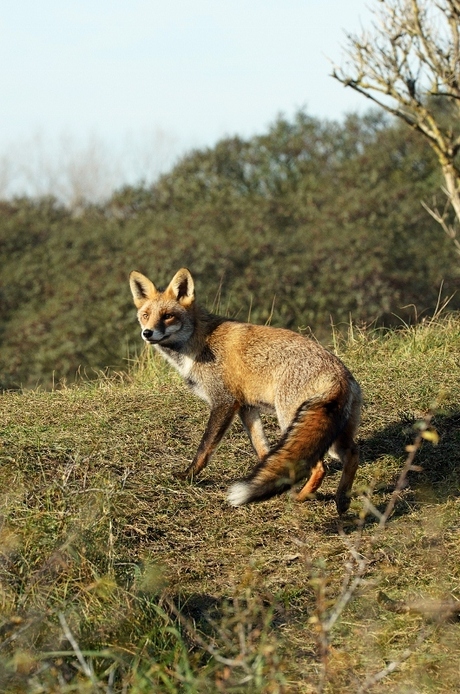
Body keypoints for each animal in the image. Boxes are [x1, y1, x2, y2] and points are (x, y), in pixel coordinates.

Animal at [129, 270, 362, 512]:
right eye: (145, 315)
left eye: (167, 316)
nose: (147, 333)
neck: (201, 342)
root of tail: (339, 376)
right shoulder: (247, 408)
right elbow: (264, 450)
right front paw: (269, 479)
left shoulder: (224, 402)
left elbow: (204, 448)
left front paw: (189, 476)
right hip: (330, 433)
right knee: (353, 454)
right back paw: (341, 499)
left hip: (291, 420)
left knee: (320, 467)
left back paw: (300, 497)